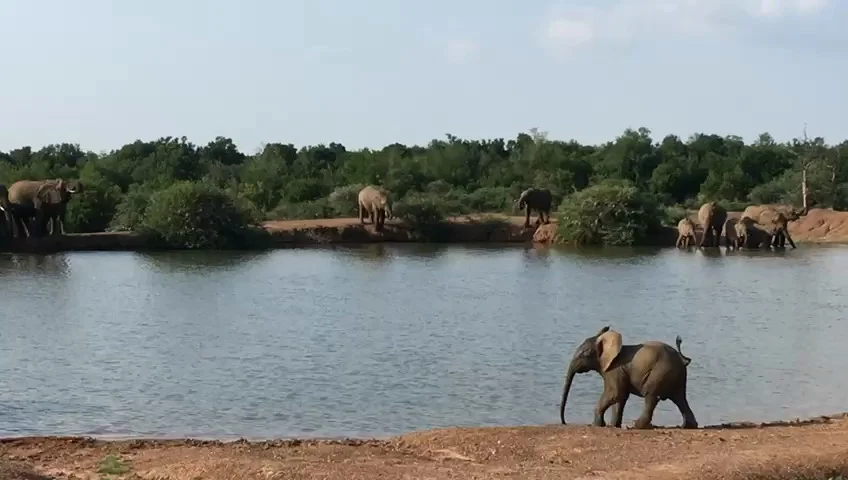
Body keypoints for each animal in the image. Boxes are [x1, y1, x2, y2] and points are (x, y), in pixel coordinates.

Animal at [556, 326, 696, 432]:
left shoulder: (614, 370)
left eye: (584, 354)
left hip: (660, 372)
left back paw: (636, 425)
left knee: (651, 395)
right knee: (680, 398)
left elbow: (615, 394)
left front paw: (597, 425)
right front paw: (613, 426)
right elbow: (620, 397)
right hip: (675, 376)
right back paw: (687, 426)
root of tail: (682, 360)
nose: (564, 422)